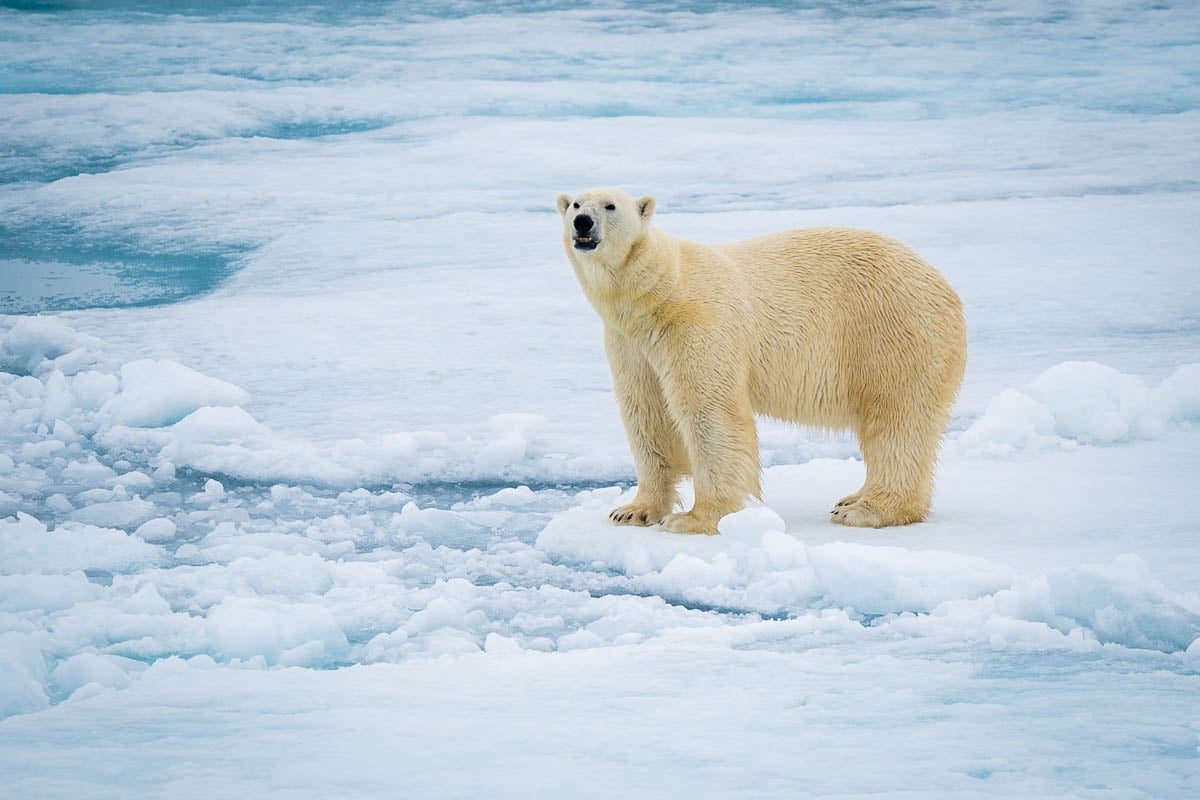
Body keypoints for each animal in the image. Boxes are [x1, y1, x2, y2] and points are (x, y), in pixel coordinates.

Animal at [556, 187, 967, 534]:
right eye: (576, 204)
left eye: (610, 206)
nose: (583, 222)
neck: (659, 291)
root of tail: (945, 286)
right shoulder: (630, 343)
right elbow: (646, 413)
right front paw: (632, 510)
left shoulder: (697, 324)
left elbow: (709, 412)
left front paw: (694, 519)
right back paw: (851, 499)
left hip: (892, 333)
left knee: (897, 420)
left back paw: (868, 509)